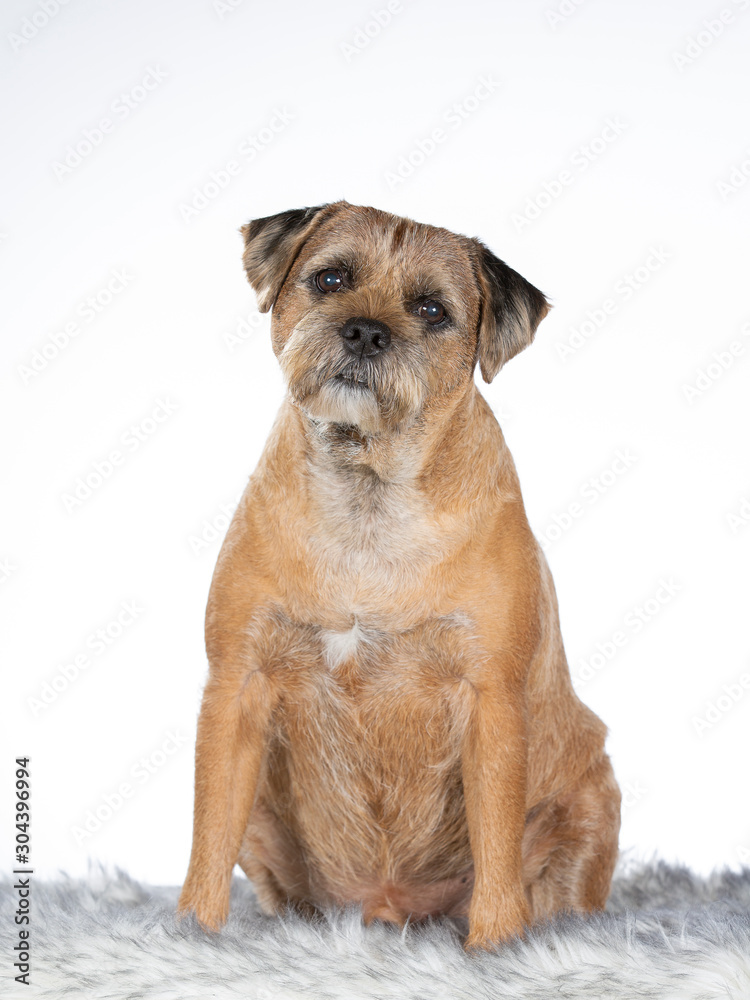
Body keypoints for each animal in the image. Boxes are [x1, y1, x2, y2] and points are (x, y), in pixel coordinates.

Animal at [178, 199, 624, 948]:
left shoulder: (490, 705)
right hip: (266, 819)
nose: (364, 331)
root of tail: (385, 906)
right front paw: (192, 936)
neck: (369, 496)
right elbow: (208, 835)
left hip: (593, 796)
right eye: (330, 279)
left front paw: (496, 948)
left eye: (431, 309)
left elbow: (497, 849)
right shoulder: (237, 686)